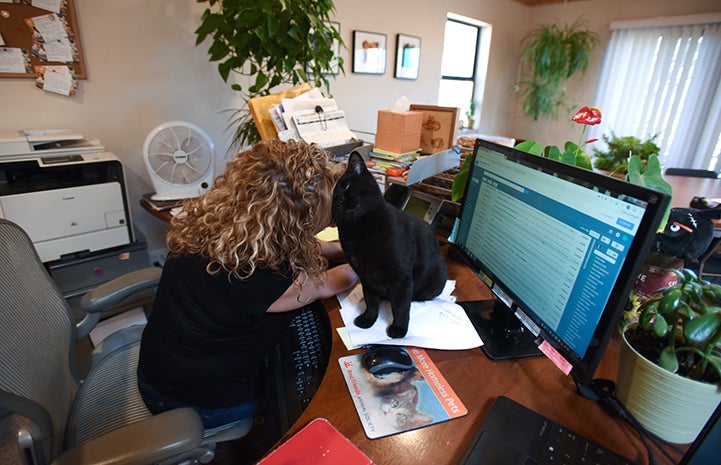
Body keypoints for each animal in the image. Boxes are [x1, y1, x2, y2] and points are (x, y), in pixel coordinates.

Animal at [330, 152, 444, 338]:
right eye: (333, 197)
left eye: (346, 185)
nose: (338, 200)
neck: (360, 230)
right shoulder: (366, 278)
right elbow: (371, 302)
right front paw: (368, 320)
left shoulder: (400, 279)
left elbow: (401, 307)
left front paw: (399, 329)